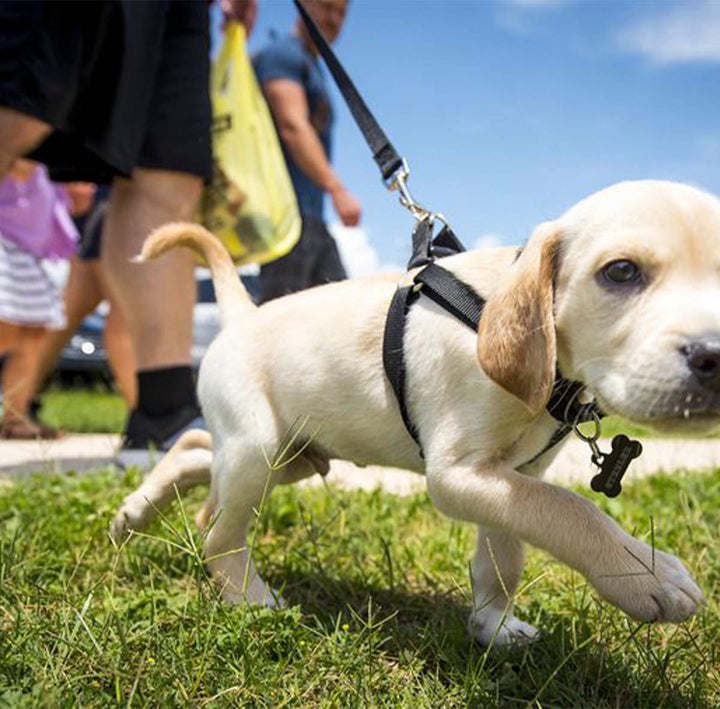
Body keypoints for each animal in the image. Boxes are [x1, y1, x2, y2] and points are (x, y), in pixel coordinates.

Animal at [112, 180, 720, 644]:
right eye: (621, 272)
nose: (713, 356)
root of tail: (243, 313)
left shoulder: (510, 475)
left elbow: (505, 554)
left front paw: (494, 628)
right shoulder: (457, 474)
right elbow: (571, 510)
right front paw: (648, 573)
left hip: (293, 455)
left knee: (196, 455)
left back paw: (133, 513)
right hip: (261, 445)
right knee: (219, 532)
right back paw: (249, 598)